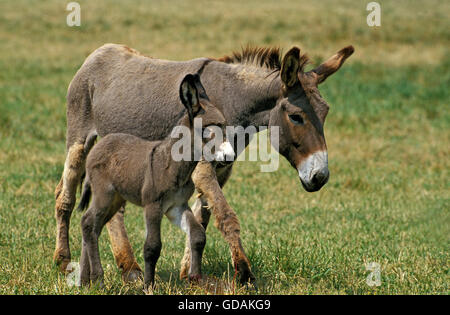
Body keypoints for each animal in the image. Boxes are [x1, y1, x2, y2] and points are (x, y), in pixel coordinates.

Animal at [77, 74, 234, 288]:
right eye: (206, 131)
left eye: (225, 126)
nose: (229, 156)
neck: (175, 166)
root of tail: (100, 144)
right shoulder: (153, 206)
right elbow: (152, 246)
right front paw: (148, 286)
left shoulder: (177, 206)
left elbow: (198, 234)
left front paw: (195, 278)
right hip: (104, 194)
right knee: (89, 224)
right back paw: (98, 278)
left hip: (116, 197)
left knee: (92, 225)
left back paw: (84, 280)